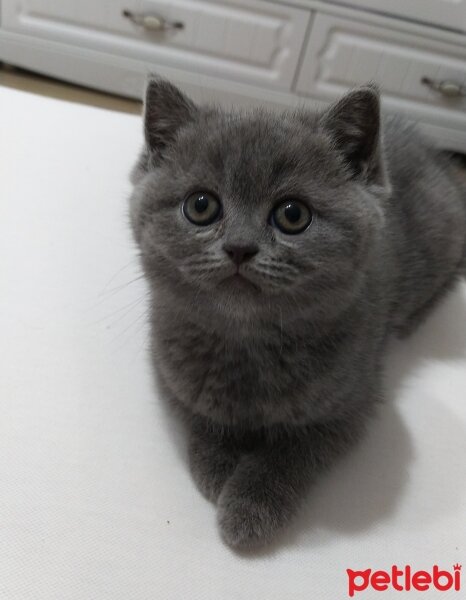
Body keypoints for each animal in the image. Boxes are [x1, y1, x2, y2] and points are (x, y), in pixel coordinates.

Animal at [128, 76, 466, 548]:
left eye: (292, 214)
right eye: (200, 205)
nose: (239, 247)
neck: (246, 346)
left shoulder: (350, 404)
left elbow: (290, 454)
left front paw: (248, 508)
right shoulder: (170, 371)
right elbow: (203, 418)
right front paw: (218, 468)